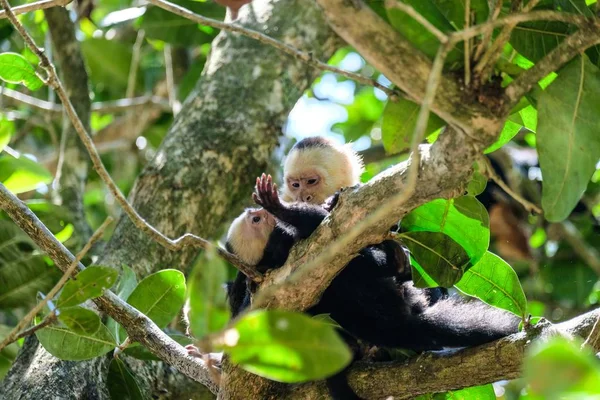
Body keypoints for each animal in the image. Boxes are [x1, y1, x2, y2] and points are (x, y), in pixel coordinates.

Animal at [225, 174, 520, 400]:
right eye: (255, 222)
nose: (254, 212)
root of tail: (395, 324)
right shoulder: (287, 247)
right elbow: (319, 227)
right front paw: (279, 207)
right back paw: (395, 265)